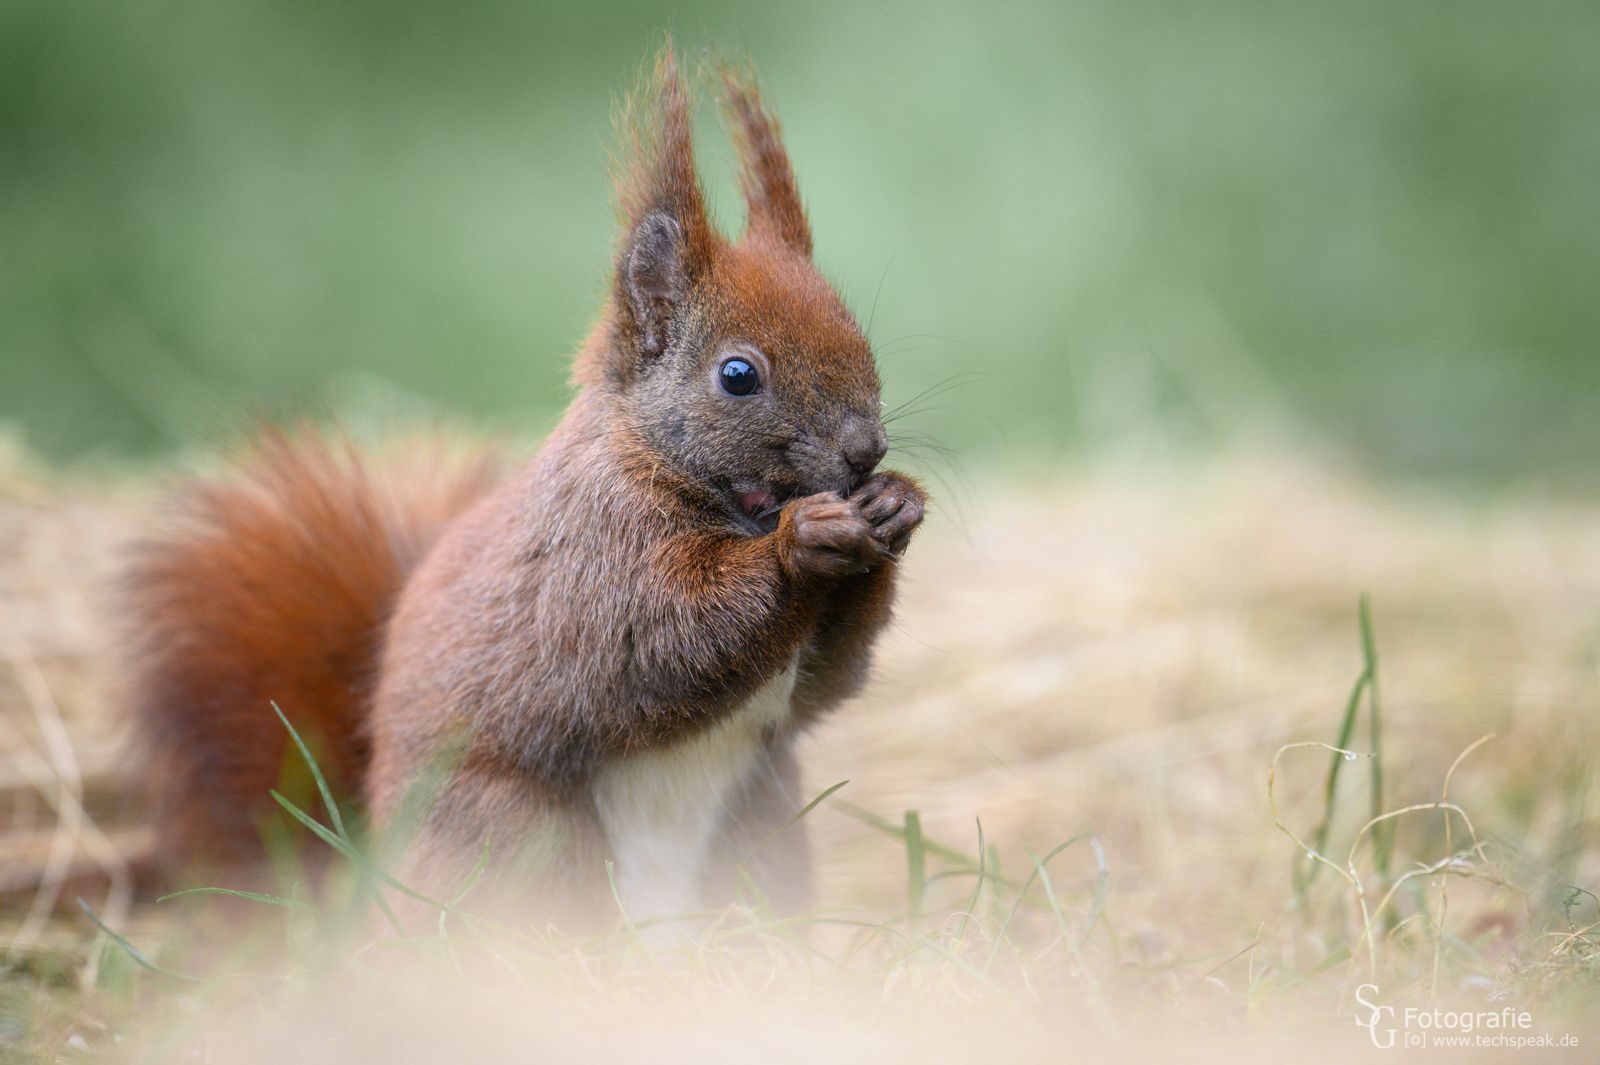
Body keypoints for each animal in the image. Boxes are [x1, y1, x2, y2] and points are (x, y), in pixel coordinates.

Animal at [125, 44, 926, 931]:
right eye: (738, 375)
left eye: (857, 335)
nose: (864, 449)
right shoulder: (589, 566)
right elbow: (663, 644)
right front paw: (803, 543)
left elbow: (825, 682)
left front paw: (895, 506)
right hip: (517, 834)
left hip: (758, 821)